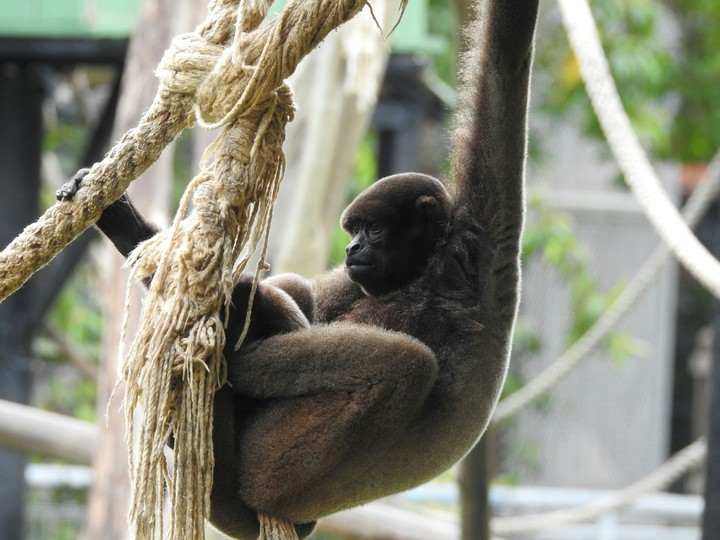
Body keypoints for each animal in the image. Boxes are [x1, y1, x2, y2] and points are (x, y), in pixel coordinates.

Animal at [57, 1, 538, 537]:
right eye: (355, 230)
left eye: (374, 229)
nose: (352, 249)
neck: (424, 274)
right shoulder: (382, 276)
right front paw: (123, 223)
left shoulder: (476, 259)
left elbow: (504, 69)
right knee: (302, 295)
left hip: (272, 469)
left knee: (403, 362)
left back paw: (229, 349)